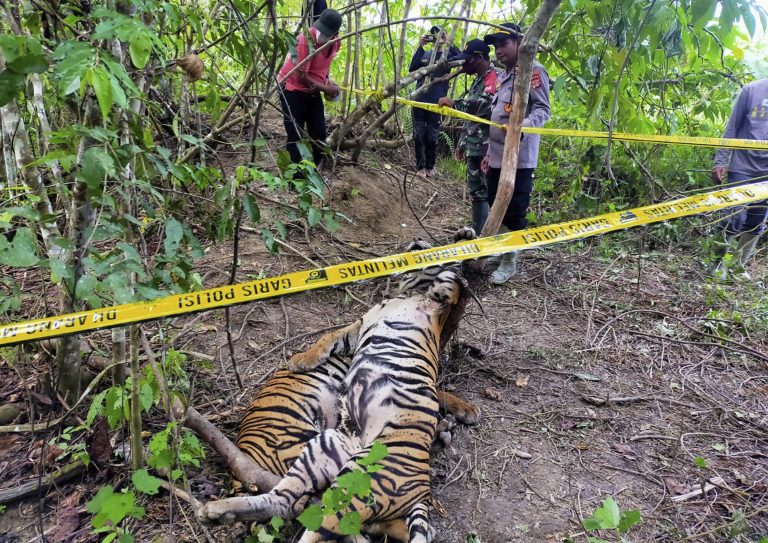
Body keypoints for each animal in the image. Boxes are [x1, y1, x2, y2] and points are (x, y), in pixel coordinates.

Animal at [198, 227, 479, 542]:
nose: (417, 241)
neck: (410, 292)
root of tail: (422, 489)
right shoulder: (359, 327)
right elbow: (328, 338)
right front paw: (299, 361)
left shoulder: (434, 307)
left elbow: (451, 281)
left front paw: (464, 241)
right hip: (328, 450)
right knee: (299, 507)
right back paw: (216, 511)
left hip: (347, 468)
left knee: (317, 517)